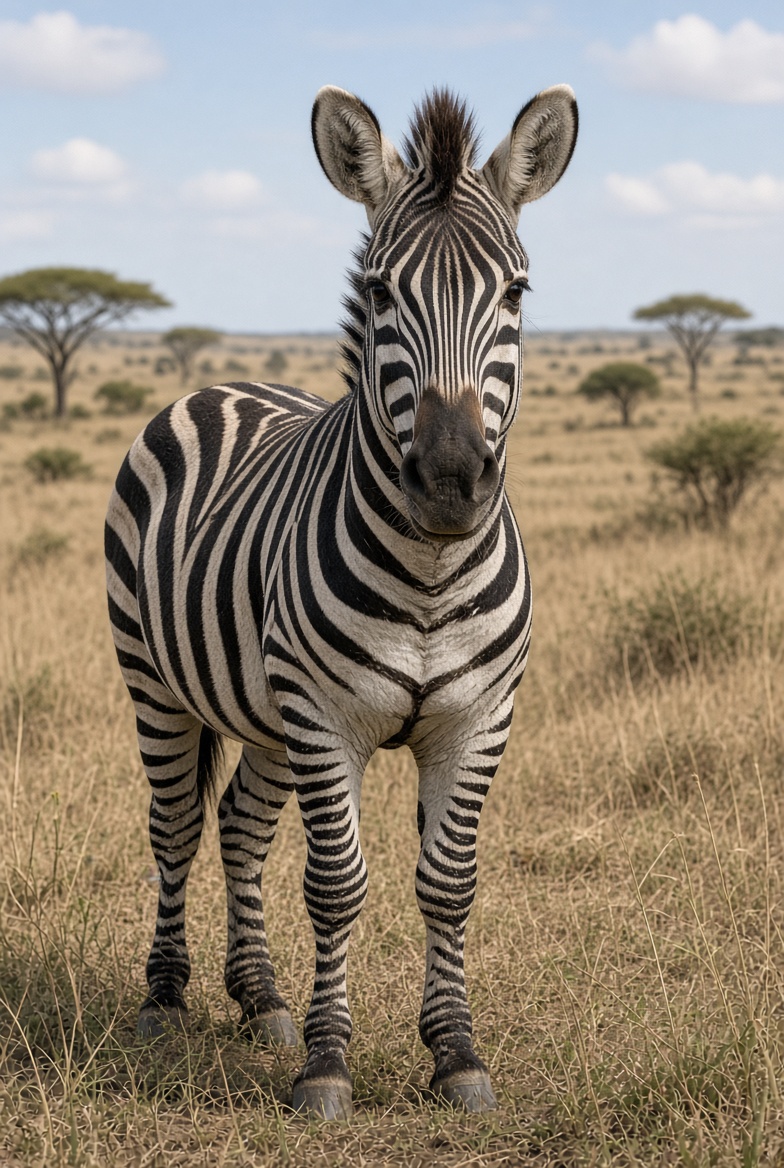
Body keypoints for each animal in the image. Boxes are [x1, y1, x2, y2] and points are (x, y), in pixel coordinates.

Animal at [105, 83, 578, 1119]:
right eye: (382, 293)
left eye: (517, 294)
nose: (450, 482)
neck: (431, 572)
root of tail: (224, 380)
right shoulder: (326, 716)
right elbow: (336, 885)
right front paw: (327, 1064)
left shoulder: (479, 717)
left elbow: (448, 883)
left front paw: (456, 1053)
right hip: (156, 680)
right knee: (178, 823)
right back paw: (164, 1000)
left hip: (267, 712)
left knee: (240, 823)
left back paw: (262, 999)